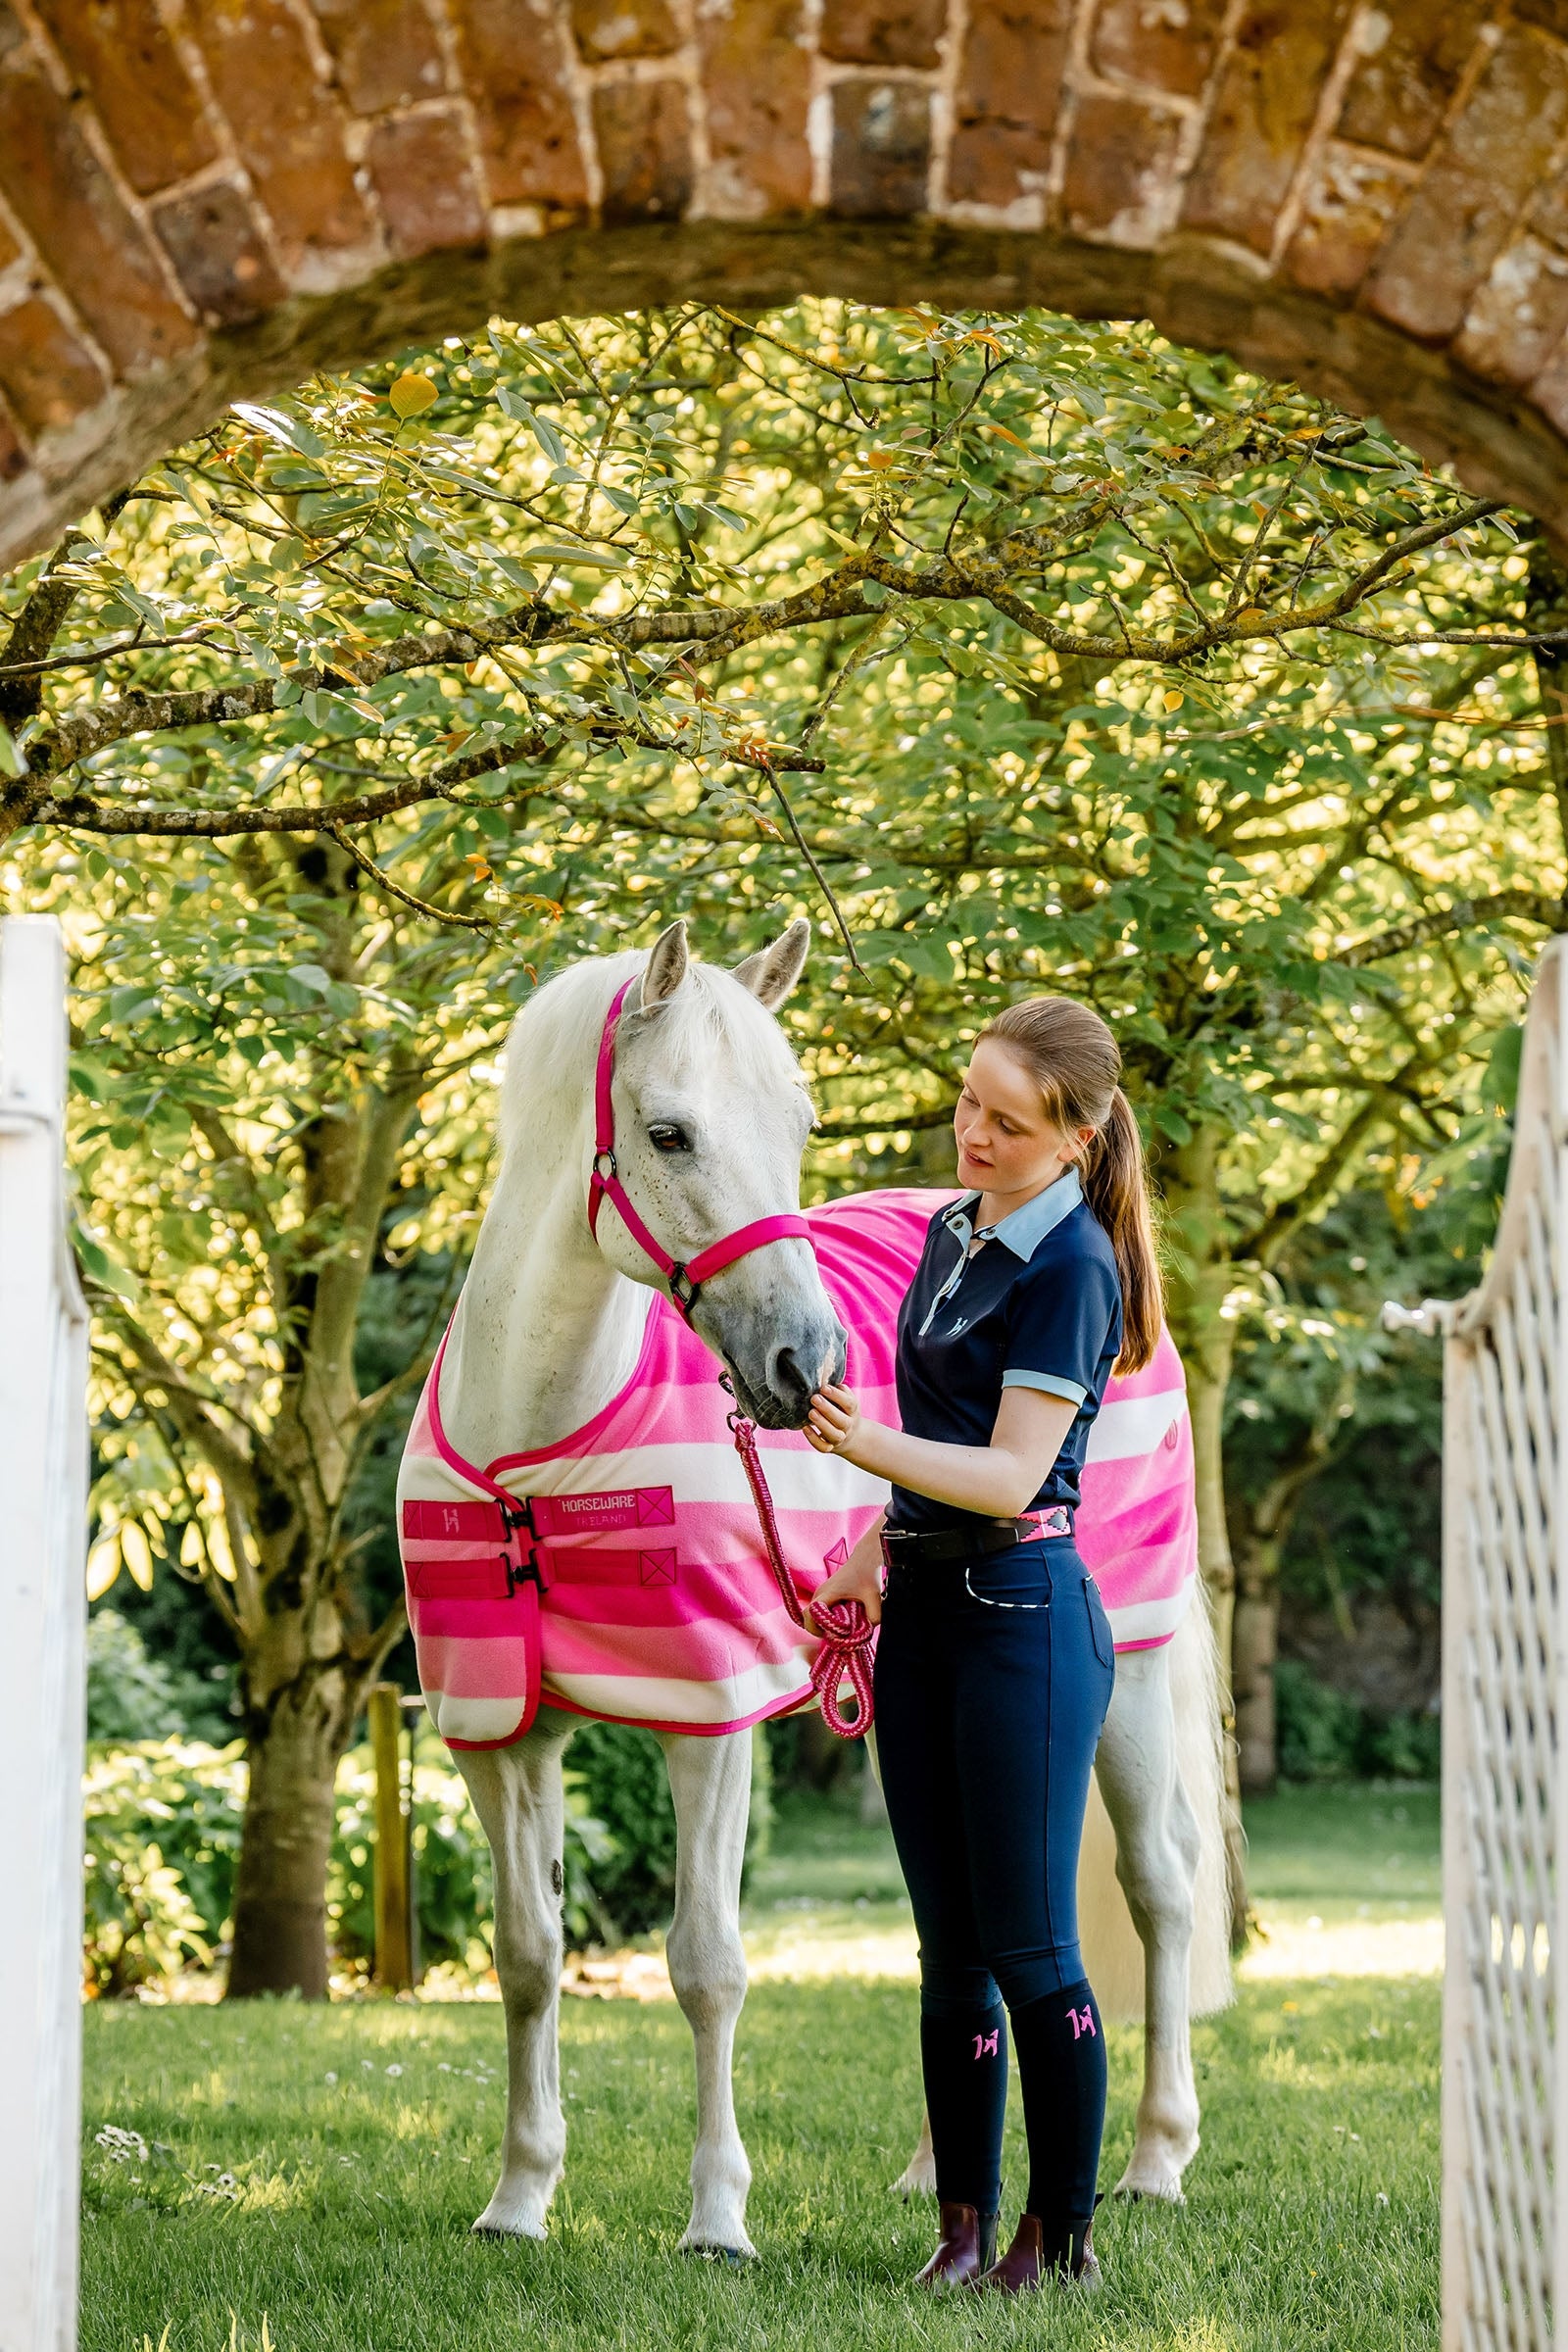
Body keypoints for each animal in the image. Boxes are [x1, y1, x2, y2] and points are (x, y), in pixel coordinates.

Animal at [396, 918, 1230, 2257]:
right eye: (669, 1133)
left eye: (796, 1122)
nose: (807, 1363)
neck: (538, 1449)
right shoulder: (497, 1736)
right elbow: (525, 1957)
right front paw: (519, 2198)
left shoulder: (709, 1723)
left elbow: (706, 1964)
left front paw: (716, 2219)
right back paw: (934, 2168)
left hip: (1134, 1678)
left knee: (1158, 1884)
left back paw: (1156, 2159)